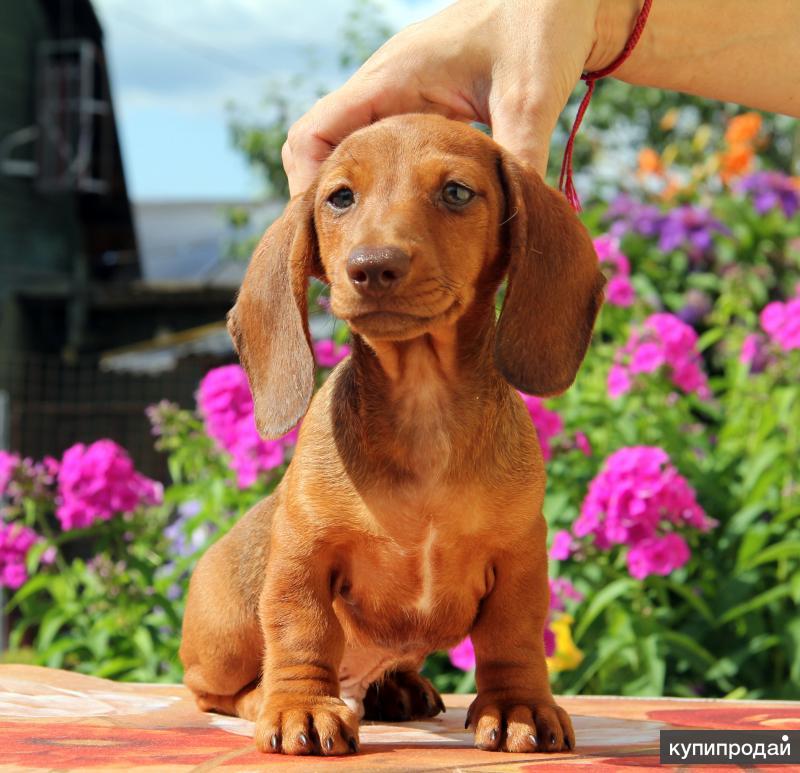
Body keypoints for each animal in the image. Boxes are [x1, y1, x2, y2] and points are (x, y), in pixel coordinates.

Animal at [180, 113, 608, 752]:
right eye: (340, 197)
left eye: (456, 192)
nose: (371, 266)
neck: (423, 405)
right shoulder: (304, 555)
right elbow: (301, 630)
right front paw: (301, 707)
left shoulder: (520, 556)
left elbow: (513, 637)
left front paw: (518, 706)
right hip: (225, 639)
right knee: (212, 690)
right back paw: (264, 699)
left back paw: (397, 688)